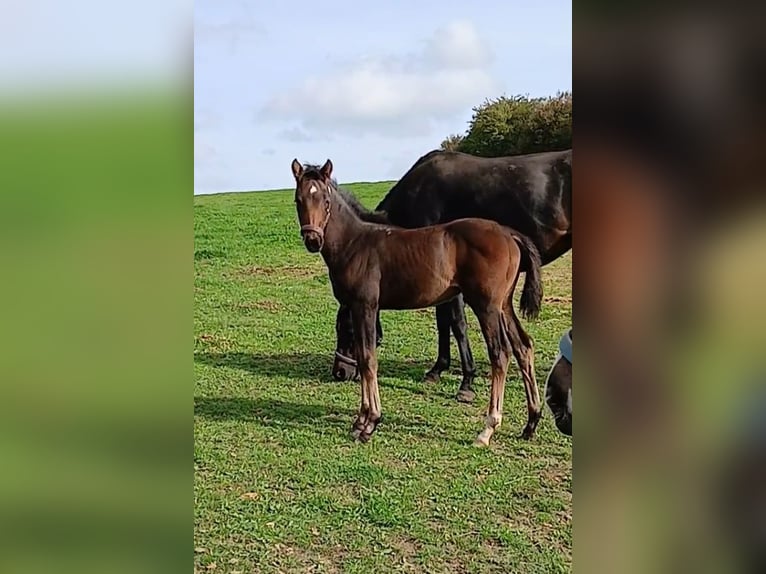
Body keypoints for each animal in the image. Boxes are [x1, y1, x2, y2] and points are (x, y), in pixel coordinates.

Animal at [291, 158, 544, 446]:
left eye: (325, 200)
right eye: (298, 200)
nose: (313, 240)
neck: (355, 244)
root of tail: (509, 233)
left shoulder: (364, 305)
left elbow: (368, 358)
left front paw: (369, 422)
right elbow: (367, 357)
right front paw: (361, 421)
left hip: (487, 306)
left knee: (500, 354)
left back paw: (487, 429)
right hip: (504, 305)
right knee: (523, 347)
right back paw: (531, 423)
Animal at [331, 149, 571, 405]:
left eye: (346, 328)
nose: (339, 372)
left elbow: (457, 323)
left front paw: (467, 382)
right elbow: (442, 320)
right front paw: (438, 369)